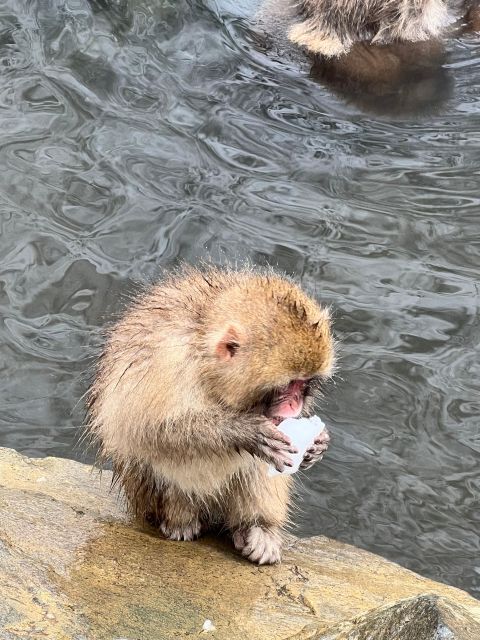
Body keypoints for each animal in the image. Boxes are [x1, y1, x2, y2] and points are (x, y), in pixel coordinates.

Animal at [86, 265, 335, 565]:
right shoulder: (167, 362)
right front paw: (245, 431)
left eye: (304, 385)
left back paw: (257, 529)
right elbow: (150, 429)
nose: (295, 407)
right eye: (287, 386)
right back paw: (180, 521)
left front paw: (317, 444)